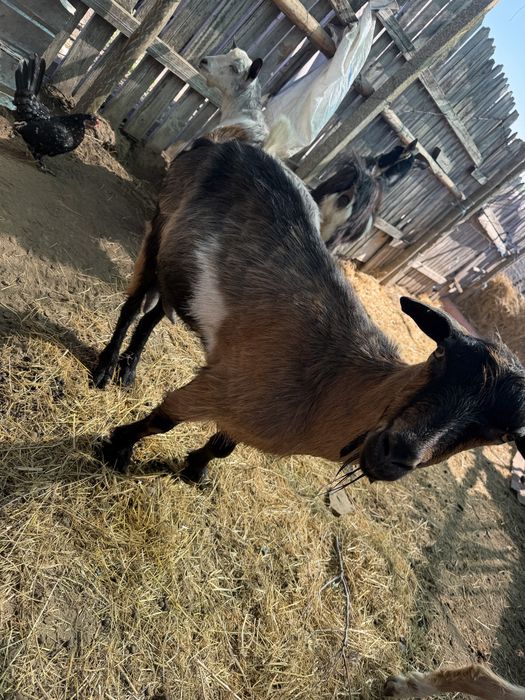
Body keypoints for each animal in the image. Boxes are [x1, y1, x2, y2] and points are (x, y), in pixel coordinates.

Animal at [95, 138, 525, 488]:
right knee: (133, 305)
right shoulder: (223, 383)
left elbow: (223, 446)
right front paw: (118, 447)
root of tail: (219, 143)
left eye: (507, 432)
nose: (395, 453)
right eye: (439, 354)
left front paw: (195, 470)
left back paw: (128, 373)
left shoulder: (245, 409)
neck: (332, 381)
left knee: (154, 313)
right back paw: (104, 370)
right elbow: (165, 417)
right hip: (160, 227)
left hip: (180, 272)